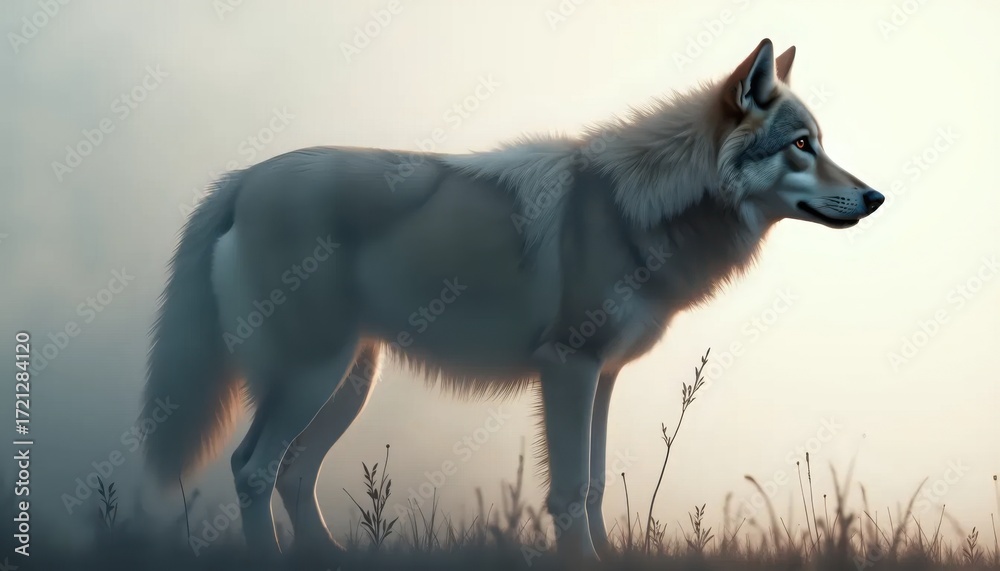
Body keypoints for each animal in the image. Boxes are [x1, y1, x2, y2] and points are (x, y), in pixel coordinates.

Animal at [140, 38, 883, 560]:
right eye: (802, 144)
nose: (876, 196)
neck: (629, 211)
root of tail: (240, 177)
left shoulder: (603, 376)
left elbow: (594, 483)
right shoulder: (568, 367)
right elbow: (570, 491)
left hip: (349, 381)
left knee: (294, 472)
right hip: (312, 378)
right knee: (251, 467)